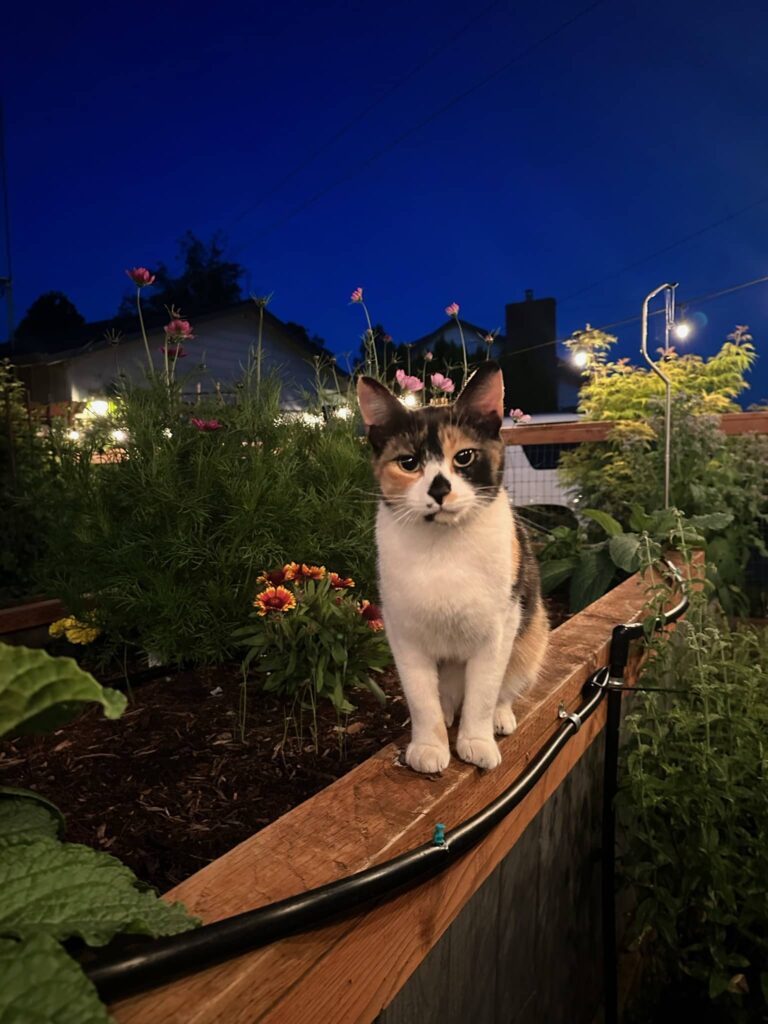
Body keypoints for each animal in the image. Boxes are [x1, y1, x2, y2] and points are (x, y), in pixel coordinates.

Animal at [358, 364, 548, 770]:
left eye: (464, 457)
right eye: (408, 462)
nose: (439, 490)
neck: (443, 550)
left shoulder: (498, 632)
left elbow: (483, 695)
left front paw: (476, 741)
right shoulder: (404, 634)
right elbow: (421, 699)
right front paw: (429, 746)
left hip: (533, 632)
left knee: (505, 688)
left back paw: (500, 718)